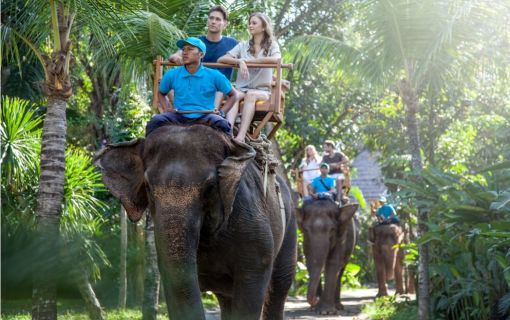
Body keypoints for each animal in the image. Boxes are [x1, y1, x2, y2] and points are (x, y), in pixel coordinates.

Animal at [93, 125, 296, 320]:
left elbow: (251, 281)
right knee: (226, 298)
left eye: (210, 187)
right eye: (148, 188)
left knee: (279, 284)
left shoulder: (251, 221)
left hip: (290, 224)